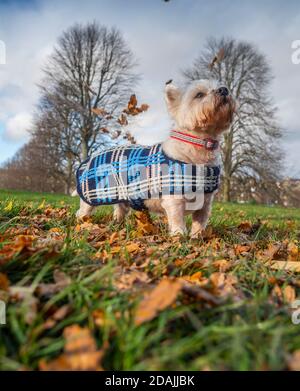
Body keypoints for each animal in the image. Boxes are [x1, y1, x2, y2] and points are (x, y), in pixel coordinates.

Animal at [74, 79, 234, 237]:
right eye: (199, 94)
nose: (224, 89)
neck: (200, 146)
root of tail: (88, 159)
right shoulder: (174, 198)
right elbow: (177, 218)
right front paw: (179, 236)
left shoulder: (206, 201)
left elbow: (200, 222)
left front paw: (197, 238)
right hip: (91, 197)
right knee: (82, 212)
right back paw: (81, 224)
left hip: (122, 196)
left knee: (119, 210)